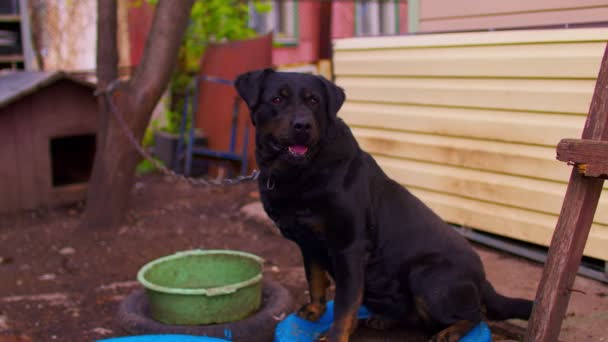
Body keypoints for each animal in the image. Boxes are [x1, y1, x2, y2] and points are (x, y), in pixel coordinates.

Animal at [234, 68, 532, 340]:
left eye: (314, 101)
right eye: (277, 99)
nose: (302, 125)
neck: (299, 173)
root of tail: (484, 281)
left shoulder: (349, 248)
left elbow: (344, 307)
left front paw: (334, 335)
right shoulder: (308, 243)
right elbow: (315, 280)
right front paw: (314, 311)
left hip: (428, 275)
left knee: (476, 313)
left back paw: (449, 332)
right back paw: (383, 319)